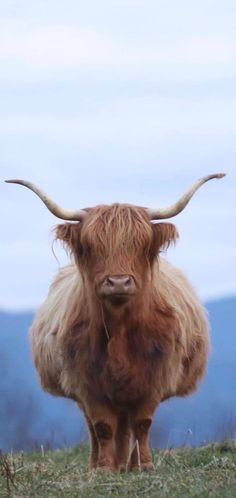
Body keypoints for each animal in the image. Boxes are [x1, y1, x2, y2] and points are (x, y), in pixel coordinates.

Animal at [6, 174, 225, 470]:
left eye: (141, 244)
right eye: (91, 246)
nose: (119, 282)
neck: (120, 330)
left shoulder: (153, 379)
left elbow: (142, 423)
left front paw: (143, 466)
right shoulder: (87, 383)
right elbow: (102, 426)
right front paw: (103, 468)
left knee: (128, 425)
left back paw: (128, 464)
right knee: (99, 428)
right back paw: (103, 463)